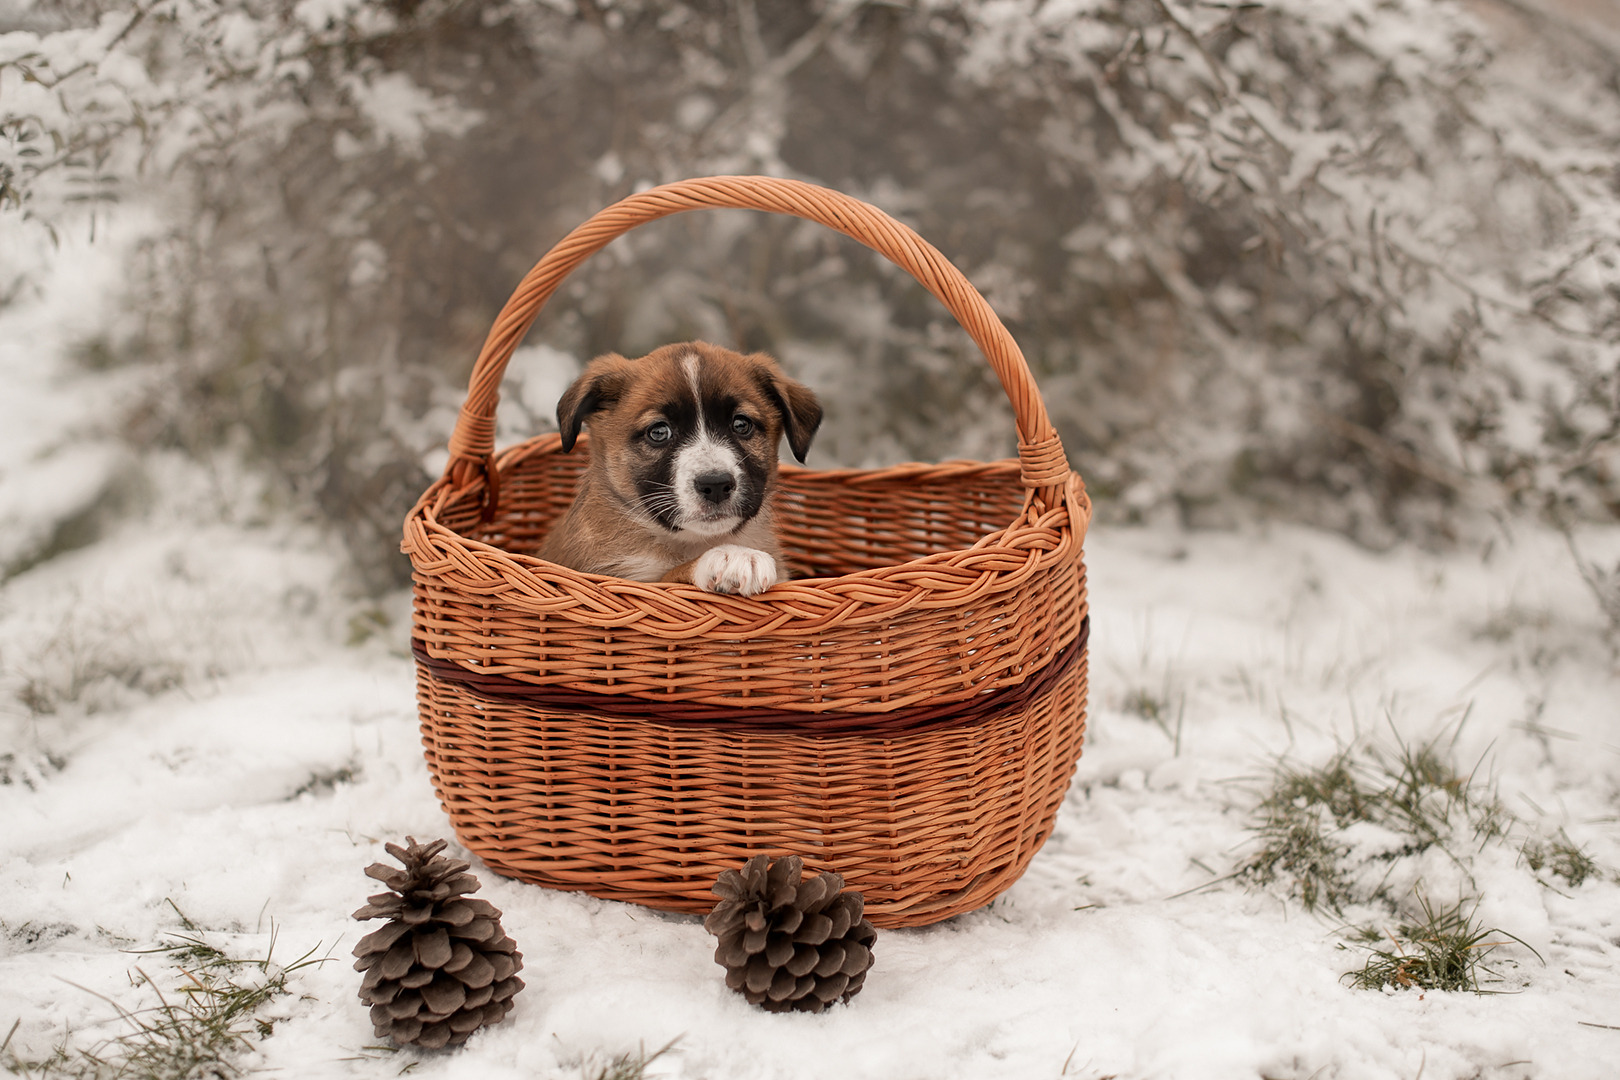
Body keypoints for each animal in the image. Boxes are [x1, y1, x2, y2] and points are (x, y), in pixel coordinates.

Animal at [537, 341, 822, 595]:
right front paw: (734, 555)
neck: (691, 542)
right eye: (659, 432)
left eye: (741, 424)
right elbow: (667, 576)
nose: (715, 485)